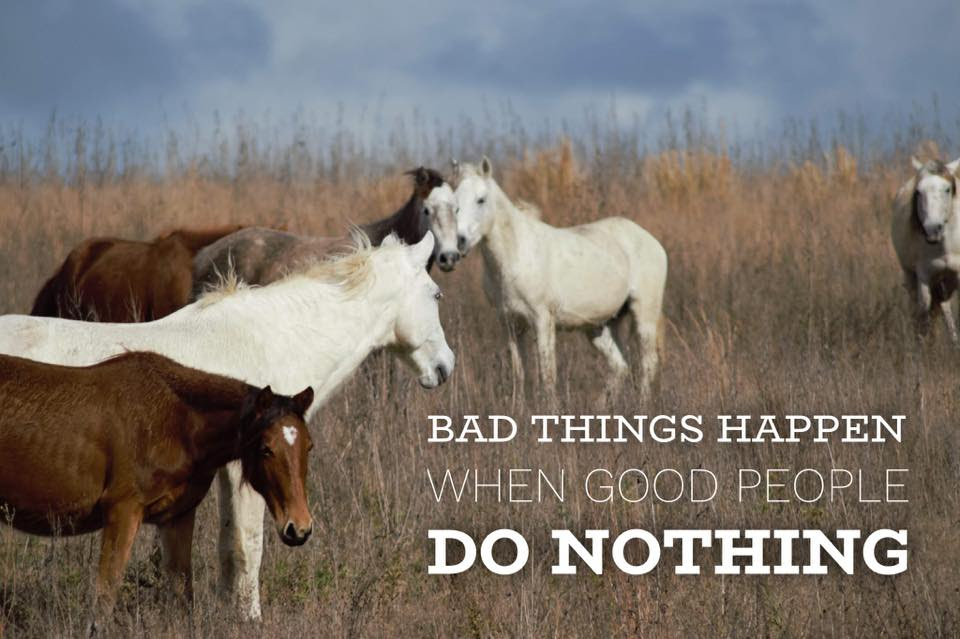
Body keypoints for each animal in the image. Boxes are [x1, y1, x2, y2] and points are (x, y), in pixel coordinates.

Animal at [0, 350, 313, 630]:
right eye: (266, 448)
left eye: (309, 446)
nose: (299, 528)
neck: (177, 423)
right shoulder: (122, 513)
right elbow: (103, 602)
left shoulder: (176, 519)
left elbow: (182, 599)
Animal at [451, 157, 667, 400]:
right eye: (454, 201)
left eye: (481, 200)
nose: (459, 241)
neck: (516, 255)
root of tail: (651, 240)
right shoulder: (510, 323)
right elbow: (519, 374)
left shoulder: (542, 320)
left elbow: (547, 375)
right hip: (601, 325)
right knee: (619, 367)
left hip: (644, 313)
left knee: (647, 364)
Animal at [891, 156, 960, 342]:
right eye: (919, 192)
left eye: (947, 189)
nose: (932, 230)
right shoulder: (924, 275)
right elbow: (924, 312)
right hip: (912, 275)